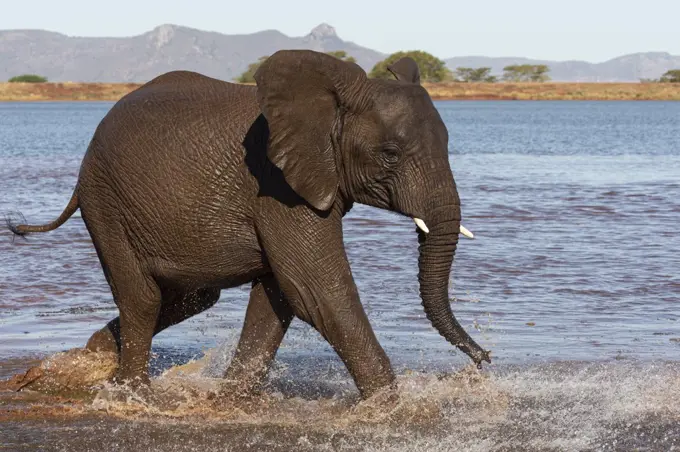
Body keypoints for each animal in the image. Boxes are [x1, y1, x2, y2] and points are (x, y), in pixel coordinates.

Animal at [7, 49, 492, 400]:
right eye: (390, 155)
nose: (484, 360)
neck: (326, 104)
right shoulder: (277, 186)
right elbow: (316, 290)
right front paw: (391, 407)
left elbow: (278, 296)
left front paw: (231, 399)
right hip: (104, 201)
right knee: (142, 298)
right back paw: (132, 394)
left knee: (192, 297)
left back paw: (84, 361)